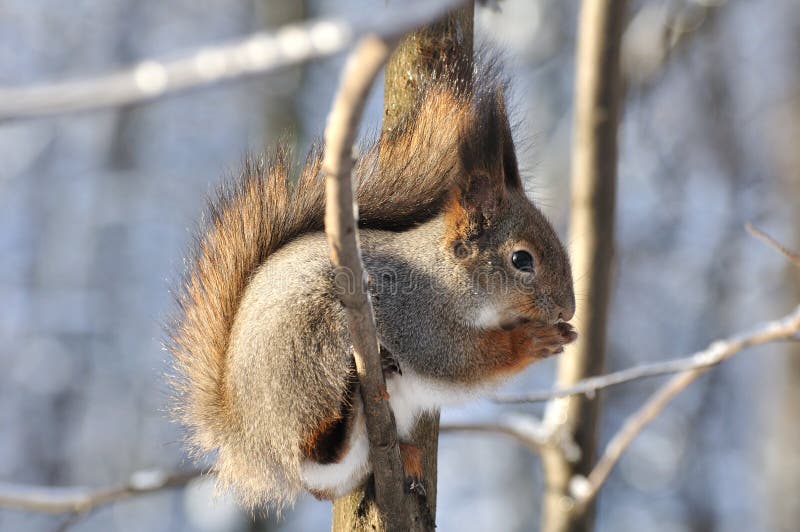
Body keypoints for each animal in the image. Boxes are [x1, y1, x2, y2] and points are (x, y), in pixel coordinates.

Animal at [167, 59, 576, 512]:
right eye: (522, 260)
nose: (568, 309)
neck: (449, 277)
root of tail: (247, 438)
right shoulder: (415, 315)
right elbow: (457, 360)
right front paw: (534, 340)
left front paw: (561, 332)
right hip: (308, 360)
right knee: (314, 450)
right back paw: (348, 407)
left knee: (326, 479)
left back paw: (403, 453)